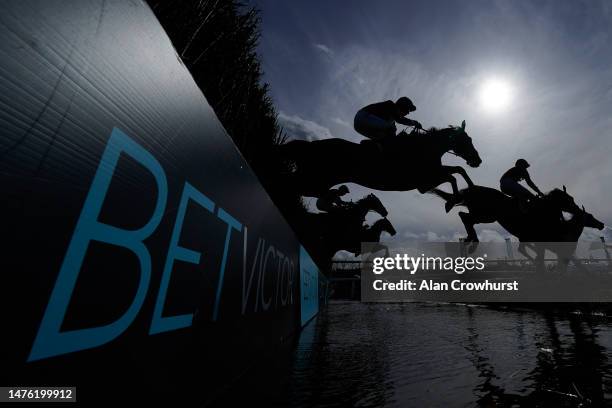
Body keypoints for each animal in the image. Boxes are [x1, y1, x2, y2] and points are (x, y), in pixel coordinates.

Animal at [278, 120, 482, 197]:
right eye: (468, 140)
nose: (477, 161)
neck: (425, 149)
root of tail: (311, 144)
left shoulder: (431, 175)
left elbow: (458, 170)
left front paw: (471, 188)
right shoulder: (424, 181)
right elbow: (452, 176)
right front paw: (455, 197)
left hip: (317, 180)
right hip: (314, 179)